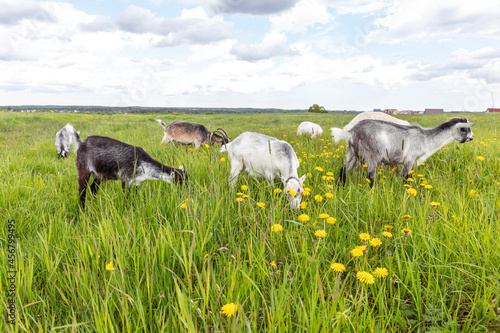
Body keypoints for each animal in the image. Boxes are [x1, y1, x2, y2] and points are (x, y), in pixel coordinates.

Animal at [334, 116, 474, 184]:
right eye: (465, 129)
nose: (472, 137)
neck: (426, 138)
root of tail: (351, 132)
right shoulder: (409, 159)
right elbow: (405, 177)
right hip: (372, 155)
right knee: (370, 176)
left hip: (352, 153)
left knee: (343, 170)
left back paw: (340, 187)